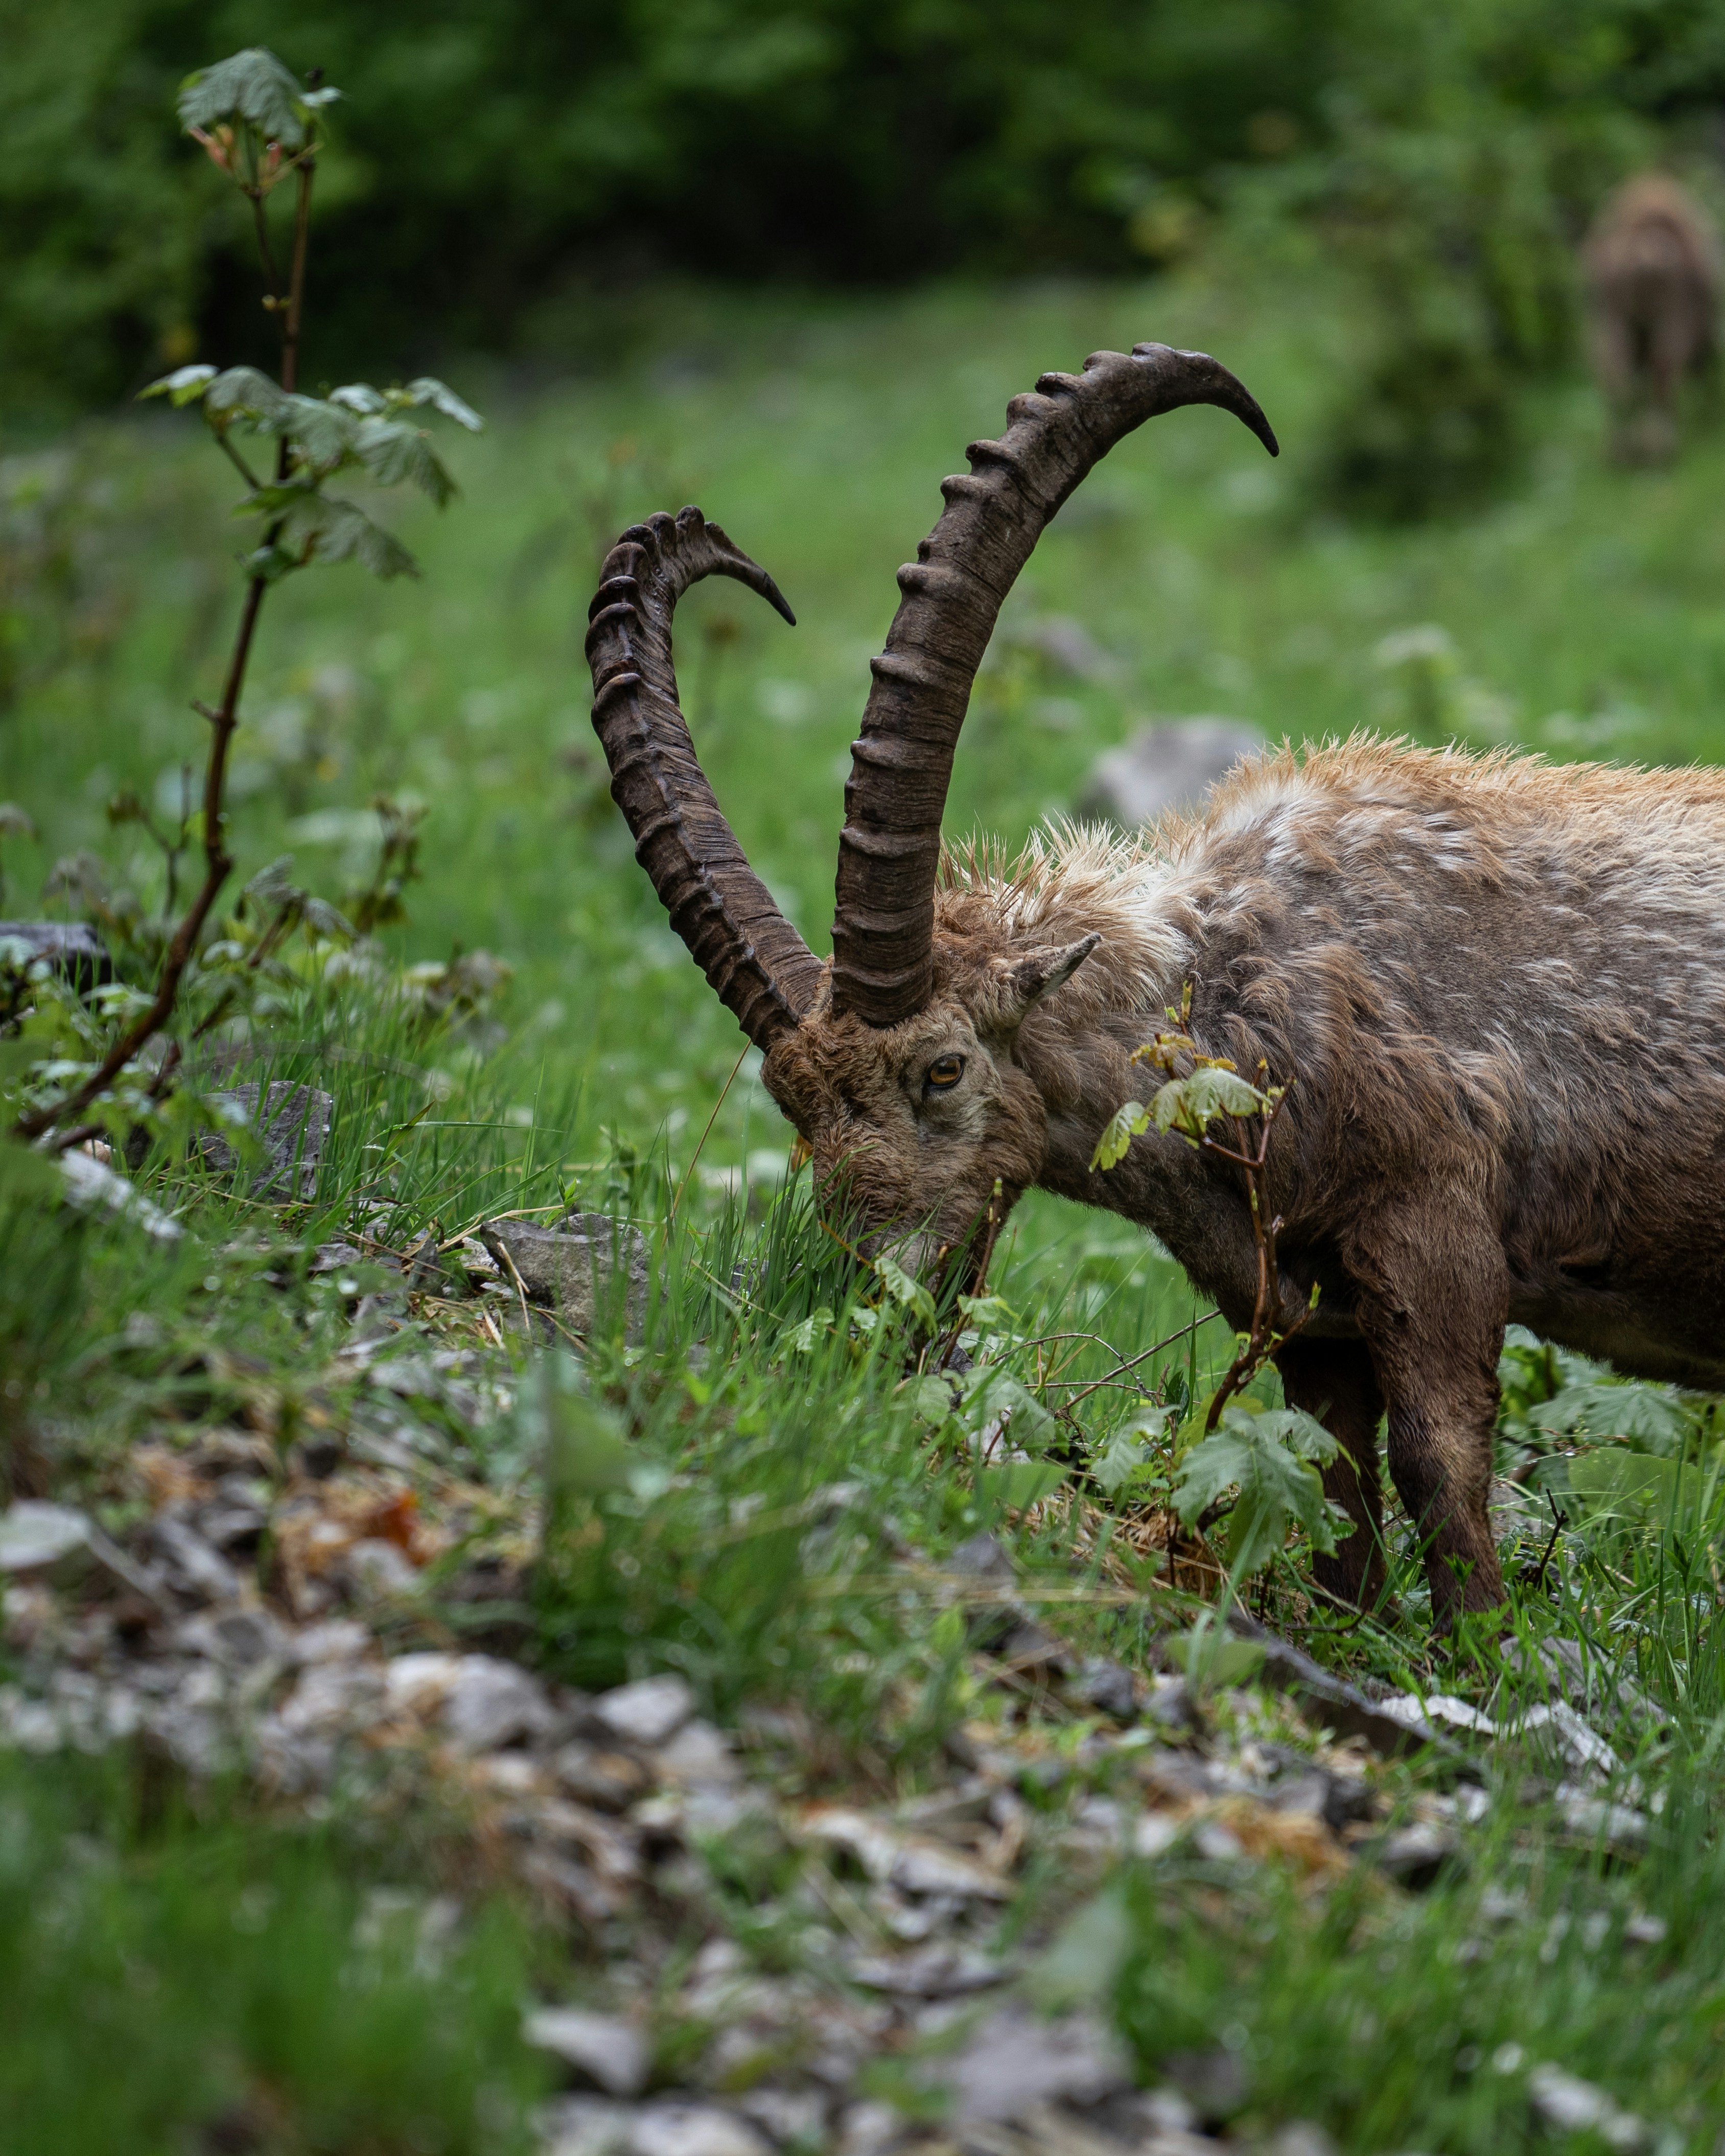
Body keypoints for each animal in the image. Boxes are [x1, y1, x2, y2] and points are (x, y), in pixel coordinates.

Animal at [585, 342, 1725, 1631]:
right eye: (791, 1101)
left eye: (943, 1067)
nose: (875, 1315)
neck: (1231, 993)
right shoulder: (1303, 1311)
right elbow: (1333, 1481)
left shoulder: (1434, 1228)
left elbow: (1440, 1461)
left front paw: (1479, 1656)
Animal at [1585, 173, 1718, 464]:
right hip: (1669, 324)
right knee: (1662, 372)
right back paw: (1662, 450)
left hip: (1614, 324)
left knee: (1617, 377)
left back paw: (1621, 452)